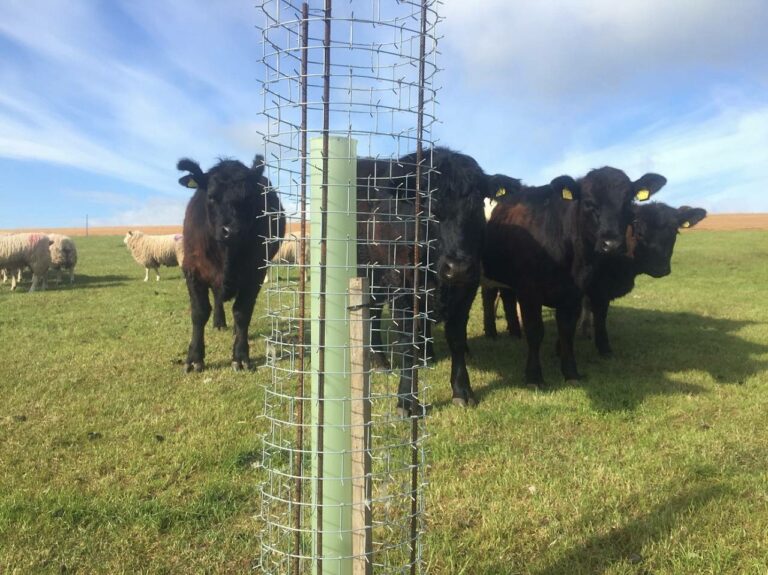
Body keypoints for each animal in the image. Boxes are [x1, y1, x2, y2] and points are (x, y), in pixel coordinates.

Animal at [177, 156, 284, 374]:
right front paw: (194, 358)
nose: (232, 230)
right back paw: (219, 323)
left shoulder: (255, 274)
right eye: (211, 196)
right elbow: (199, 313)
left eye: (249, 197)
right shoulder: (192, 269)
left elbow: (242, 312)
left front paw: (240, 357)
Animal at [356, 146, 488, 412]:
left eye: (476, 206)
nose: (457, 267)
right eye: (427, 207)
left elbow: (456, 338)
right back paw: (380, 361)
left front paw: (462, 391)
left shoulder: (468, 287)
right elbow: (408, 342)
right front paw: (407, 400)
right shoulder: (401, 287)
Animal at [486, 168, 664, 388]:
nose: (612, 245)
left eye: (628, 200)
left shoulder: (573, 294)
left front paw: (571, 373)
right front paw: (534, 377)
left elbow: (566, 332)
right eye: (588, 202)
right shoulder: (529, 292)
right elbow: (535, 331)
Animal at [580, 202, 704, 356]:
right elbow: (600, 316)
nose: (660, 268)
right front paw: (604, 348)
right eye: (639, 233)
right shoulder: (599, 289)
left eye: (675, 232)